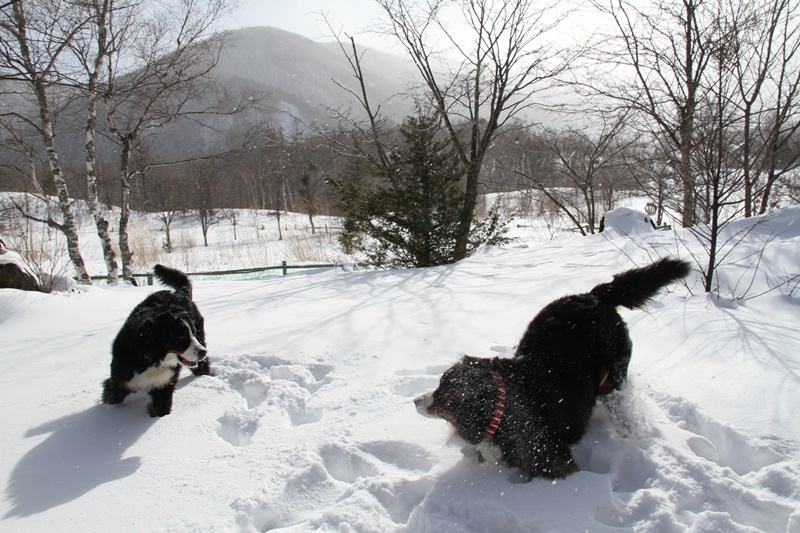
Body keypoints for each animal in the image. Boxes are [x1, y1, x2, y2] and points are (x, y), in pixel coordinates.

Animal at [101, 264, 209, 418]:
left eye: (192, 333)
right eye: (181, 337)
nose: (203, 352)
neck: (150, 359)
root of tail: (180, 292)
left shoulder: (163, 385)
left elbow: (161, 409)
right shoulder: (119, 382)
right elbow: (112, 397)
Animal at [416, 256, 692, 478]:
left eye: (442, 392)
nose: (415, 400)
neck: (501, 408)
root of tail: (594, 295)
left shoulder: (555, 461)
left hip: (614, 375)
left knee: (620, 407)